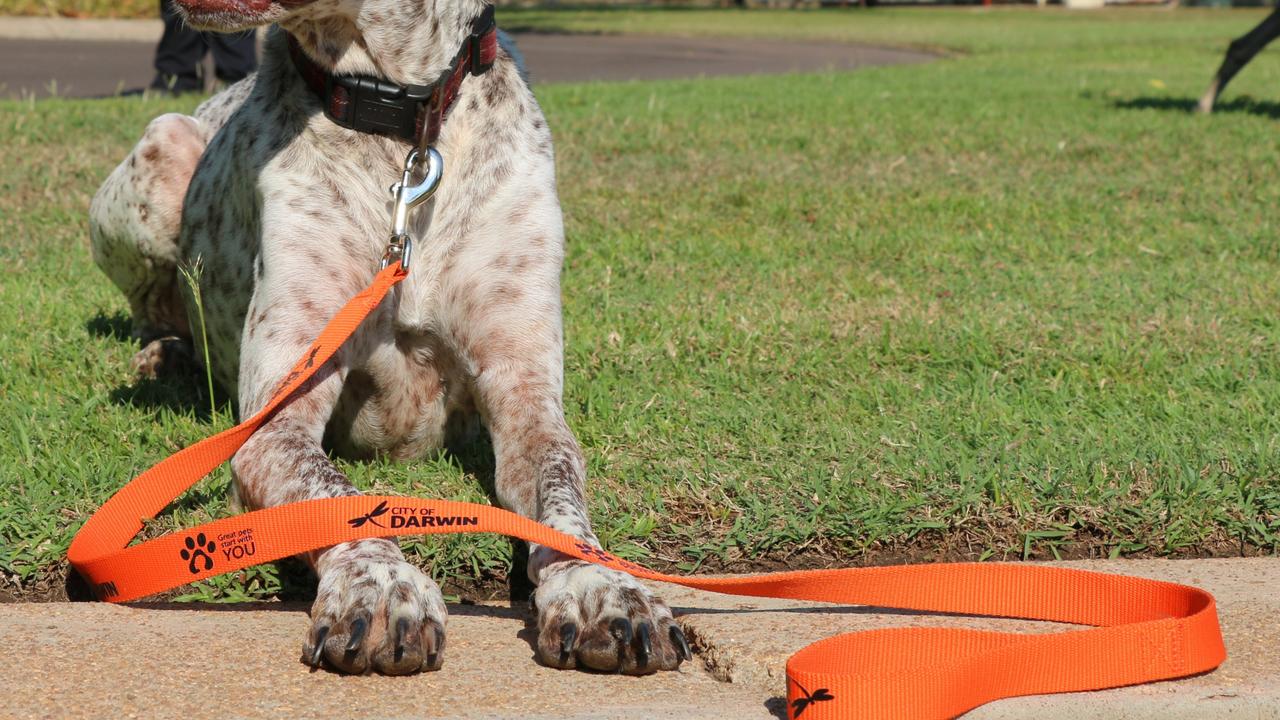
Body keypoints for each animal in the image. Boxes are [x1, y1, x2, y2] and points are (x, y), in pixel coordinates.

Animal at [90, 0, 691, 671]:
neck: (405, 126)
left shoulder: (527, 401)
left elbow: (562, 497)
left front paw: (603, 587)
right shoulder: (274, 423)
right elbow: (337, 500)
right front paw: (380, 587)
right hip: (162, 146)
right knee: (154, 305)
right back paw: (164, 355)